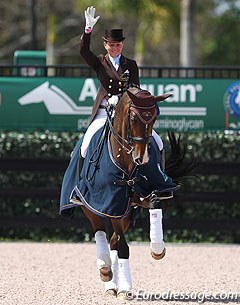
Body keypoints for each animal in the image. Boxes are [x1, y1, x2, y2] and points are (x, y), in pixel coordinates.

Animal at [59, 84, 196, 298]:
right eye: (133, 118)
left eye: (154, 118)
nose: (142, 158)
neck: (127, 160)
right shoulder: (112, 202)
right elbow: (122, 246)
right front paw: (120, 285)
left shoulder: (140, 197)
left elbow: (155, 203)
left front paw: (157, 249)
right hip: (91, 206)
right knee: (100, 232)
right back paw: (105, 271)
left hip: (128, 213)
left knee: (114, 240)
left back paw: (114, 282)